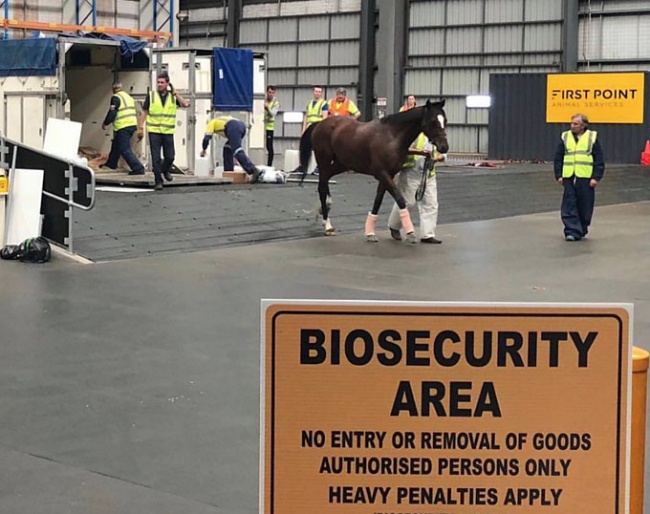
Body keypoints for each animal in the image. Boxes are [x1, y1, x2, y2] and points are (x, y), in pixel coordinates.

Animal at [298, 99, 446, 240]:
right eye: (433, 121)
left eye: (445, 120)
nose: (444, 147)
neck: (392, 136)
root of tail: (320, 124)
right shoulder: (382, 173)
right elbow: (400, 199)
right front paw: (410, 233)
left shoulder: (388, 175)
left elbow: (378, 201)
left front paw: (370, 233)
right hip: (323, 161)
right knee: (322, 187)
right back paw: (327, 225)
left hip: (342, 164)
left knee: (326, 180)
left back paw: (325, 209)